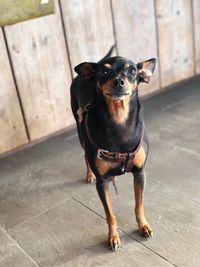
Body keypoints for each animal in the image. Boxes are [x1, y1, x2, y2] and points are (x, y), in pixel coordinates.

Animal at [70, 46, 156, 253]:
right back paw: (89, 175)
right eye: (104, 72)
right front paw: (113, 237)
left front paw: (143, 226)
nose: (118, 81)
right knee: (85, 156)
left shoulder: (140, 173)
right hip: (80, 132)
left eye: (132, 71)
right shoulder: (102, 184)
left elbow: (139, 205)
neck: (119, 119)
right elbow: (110, 214)